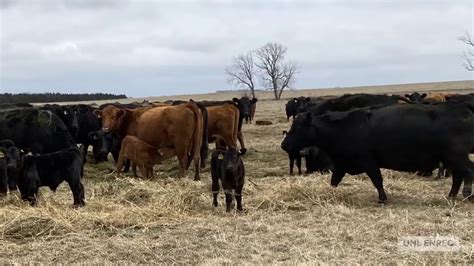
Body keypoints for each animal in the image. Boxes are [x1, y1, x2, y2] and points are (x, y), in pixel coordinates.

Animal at [280, 102, 474, 204]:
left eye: (298, 127)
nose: (284, 144)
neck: (341, 128)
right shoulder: (342, 163)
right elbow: (334, 181)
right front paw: (330, 194)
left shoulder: (368, 161)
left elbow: (377, 180)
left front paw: (382, 198)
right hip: (450, 158)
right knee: (458, 175)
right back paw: (452, 195)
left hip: (456, 156)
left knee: (468, 171)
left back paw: (467, 194)